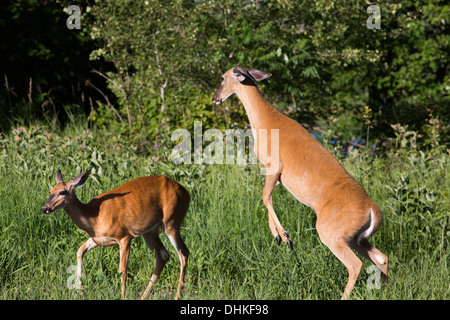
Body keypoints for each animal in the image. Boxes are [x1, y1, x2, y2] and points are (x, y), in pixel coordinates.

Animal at [41, 170, 190, 300]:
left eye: (62, 192)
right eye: (50, 191)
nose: (45, 208)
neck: (94, 217)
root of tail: (186, 192)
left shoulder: (124, 236)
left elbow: (122, 270)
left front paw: (122, 296)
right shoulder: (97, 239)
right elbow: (79, 251)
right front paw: (79, 289)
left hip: (171, 221)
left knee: (183, 252)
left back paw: (177, 295)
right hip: (150, 232)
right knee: (163, 255)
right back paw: (143, 296)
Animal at [213, 66, 388, 298]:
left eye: (223, 78)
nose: (215, 98)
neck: (266, 122)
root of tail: (372, 210)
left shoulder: (274, 166)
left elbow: (264, 197)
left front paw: (285, 236)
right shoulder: (277, 175)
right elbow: (267, 198)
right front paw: (278, 236)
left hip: (331, 232)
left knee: (355, 264)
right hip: (356, 236)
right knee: (381, 258)